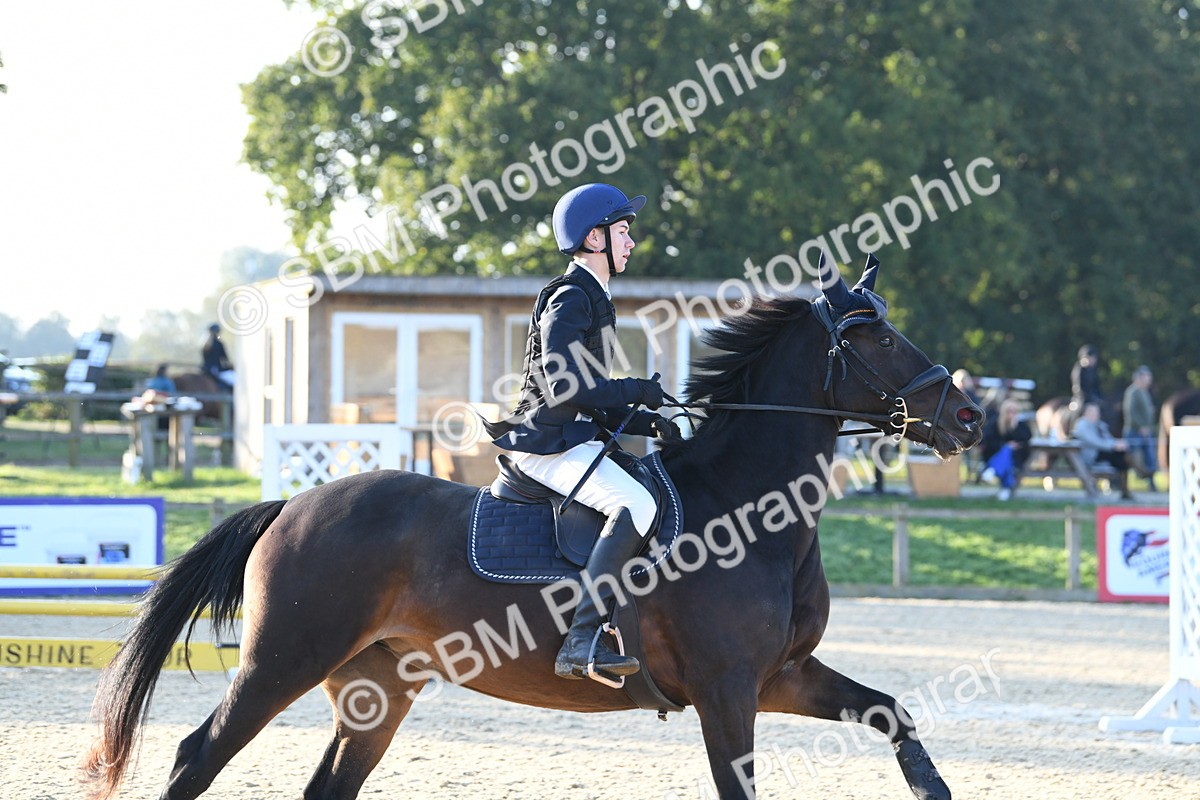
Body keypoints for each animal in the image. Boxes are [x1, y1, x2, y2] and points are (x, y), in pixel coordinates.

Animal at [83, 258, 984, 800]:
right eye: (879, 336)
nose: (969, 417)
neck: (750, 509)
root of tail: (292, 506)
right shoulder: (727, 689)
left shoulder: (780, 677)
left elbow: (894, 714)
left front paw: (933, 786)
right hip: (281, 663)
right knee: (196, 757)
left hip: (378, 688)